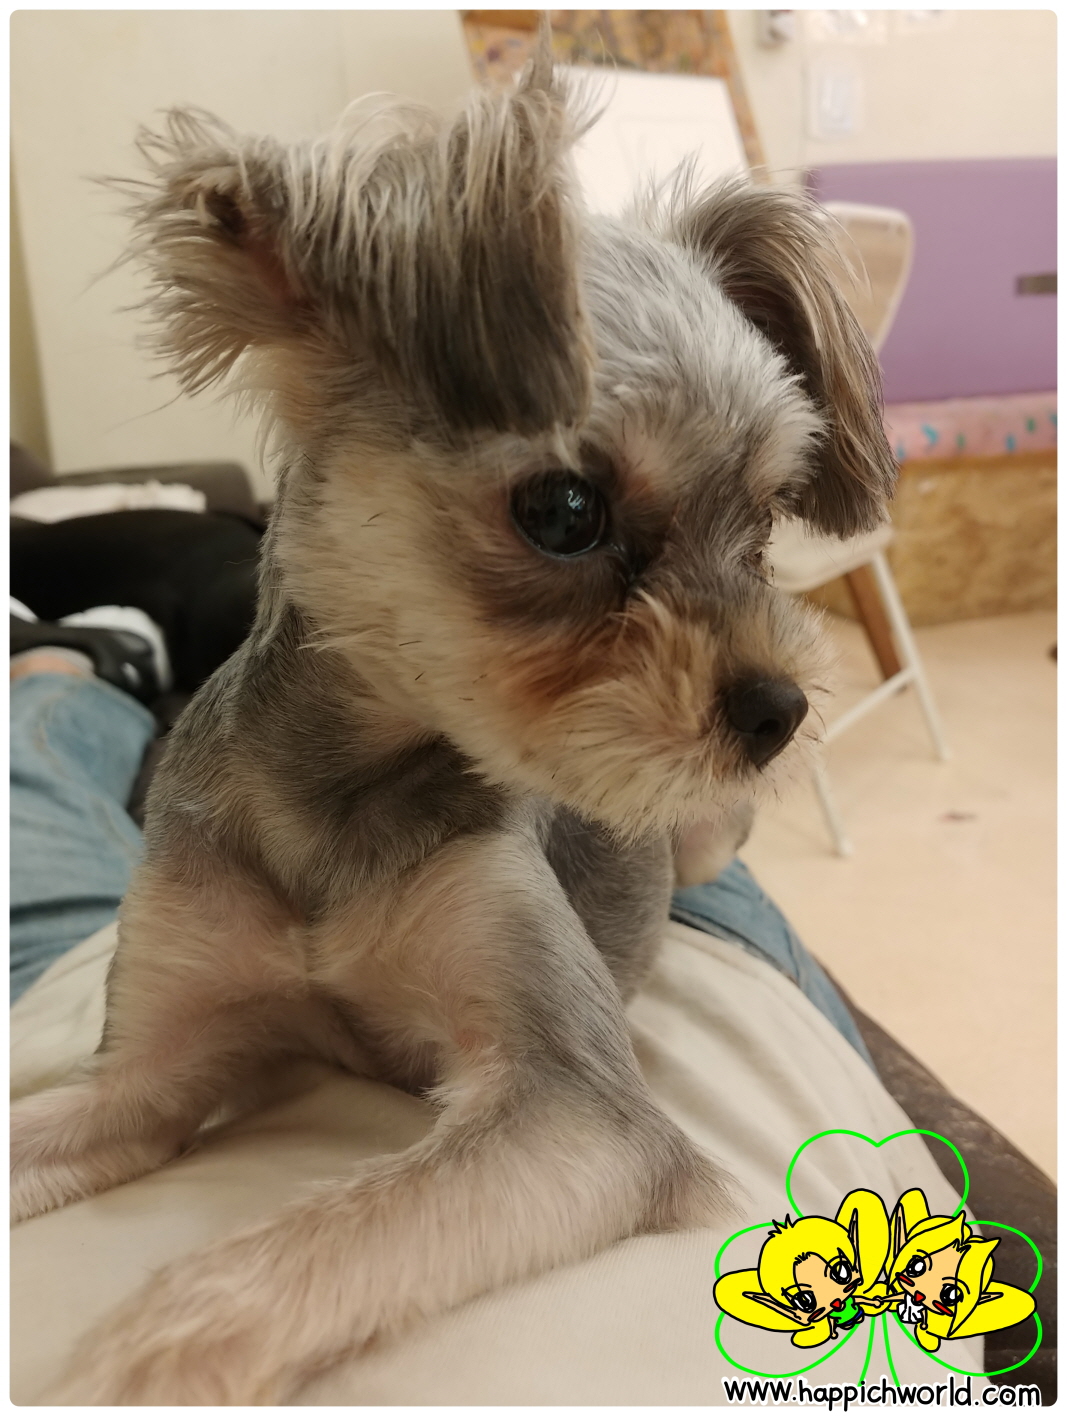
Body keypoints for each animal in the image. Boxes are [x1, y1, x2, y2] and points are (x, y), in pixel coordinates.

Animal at [10, 45, 895, 1404]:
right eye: (565, 509)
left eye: (761, 524)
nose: (779, 712)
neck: (342, 799)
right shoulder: (146, 1080)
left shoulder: (574, 1113)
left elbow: (287, 1257)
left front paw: (126, 1369)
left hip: (699, 832)